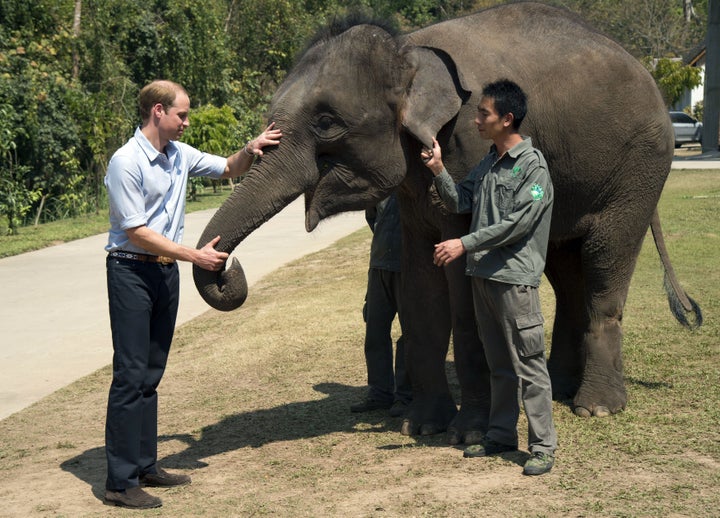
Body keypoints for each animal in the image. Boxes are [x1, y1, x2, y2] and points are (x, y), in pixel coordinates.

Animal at [194, 2, 700, 444]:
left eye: (326, 121)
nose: (227, 266)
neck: (409, 50)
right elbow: (421, 292)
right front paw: (420, 427)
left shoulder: (468, 145)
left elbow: (465, 294)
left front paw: (466, 433)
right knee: (565, 269)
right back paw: (556, 387)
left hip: (638, 170)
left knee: (603, 263)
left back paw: (595, 407)